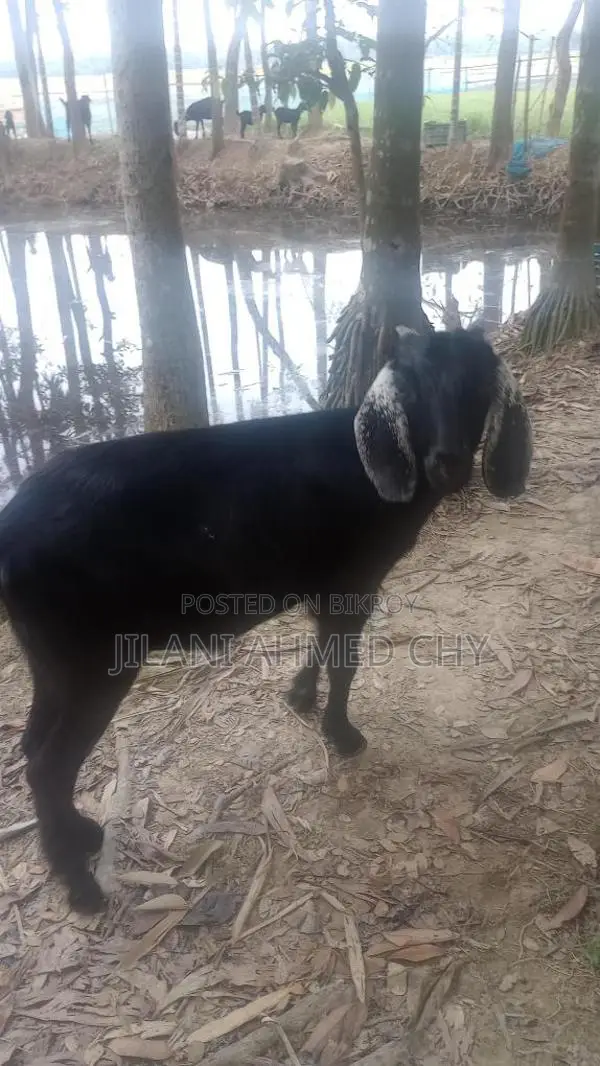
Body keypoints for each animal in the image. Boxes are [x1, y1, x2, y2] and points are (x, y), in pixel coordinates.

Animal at [0, 326, 532, 914]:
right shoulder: (354, 580)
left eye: (478, 387)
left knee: (32, 749)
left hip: (51, 660)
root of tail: (9, 528)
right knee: (49, 765)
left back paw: (80, 838)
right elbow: (344, 661)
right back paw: (81, 886)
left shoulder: (326, 585)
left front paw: (299, 697)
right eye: (411, 390)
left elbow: (323, 645)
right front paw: (342, 734)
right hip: (94, 661)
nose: (448, 463)